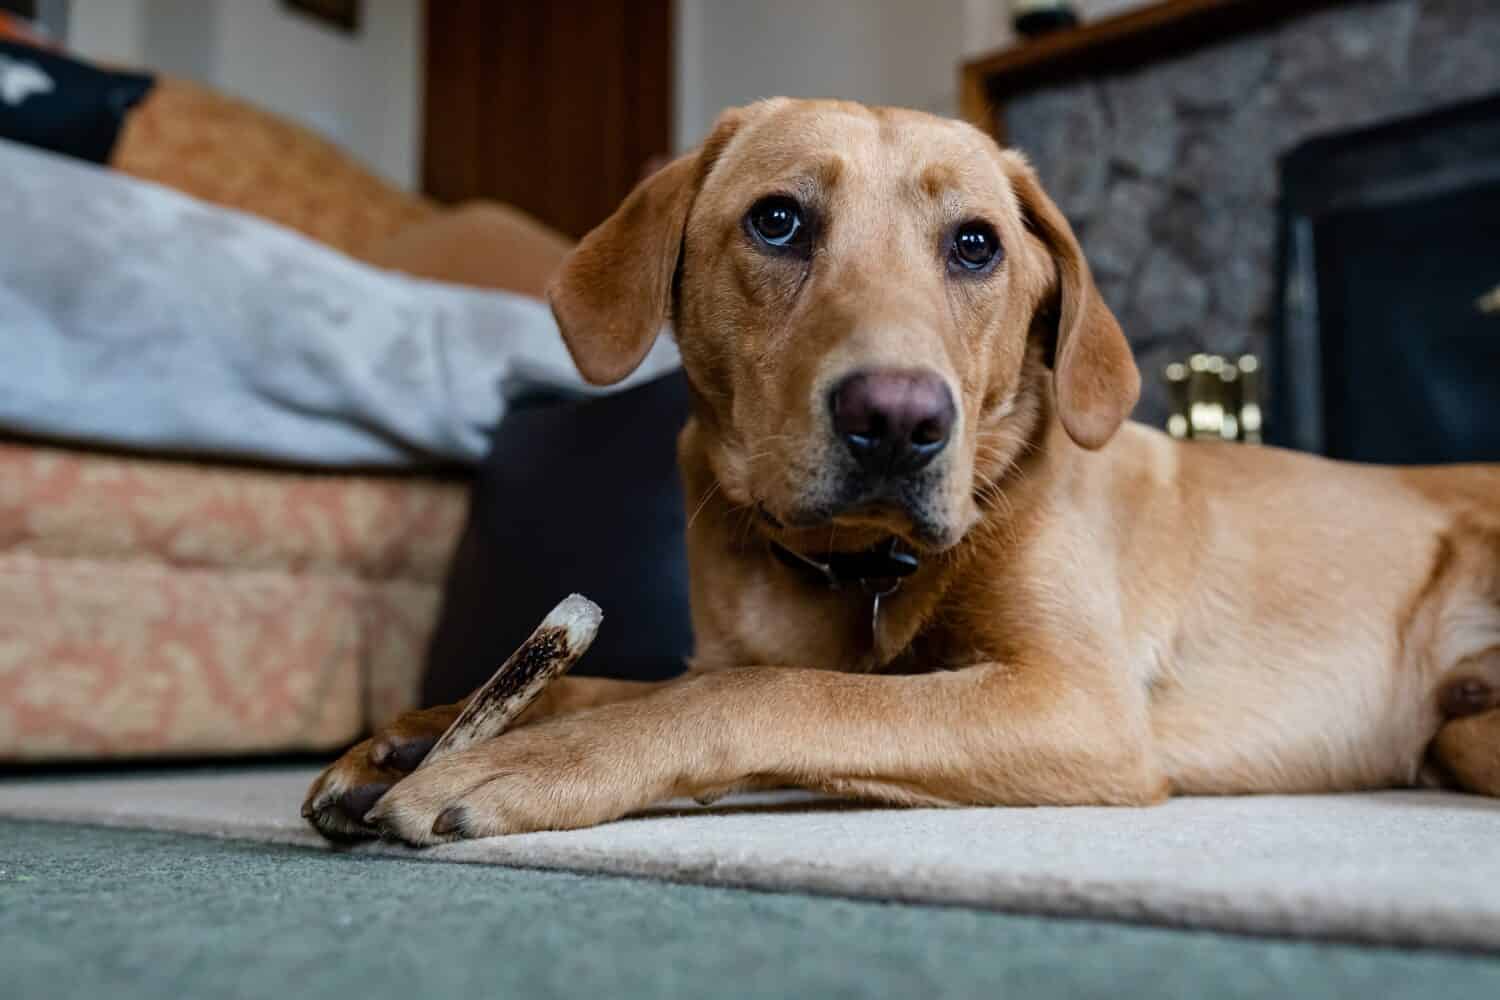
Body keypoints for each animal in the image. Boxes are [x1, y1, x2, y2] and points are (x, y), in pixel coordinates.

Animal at [298, 97, 1494, 845]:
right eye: (778, 221)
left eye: (976, 244)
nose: (899, 422)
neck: (862, 567)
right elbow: (645, 677)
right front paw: (420, 730)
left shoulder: (1076, 703)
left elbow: (765, 692)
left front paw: (530, 760)